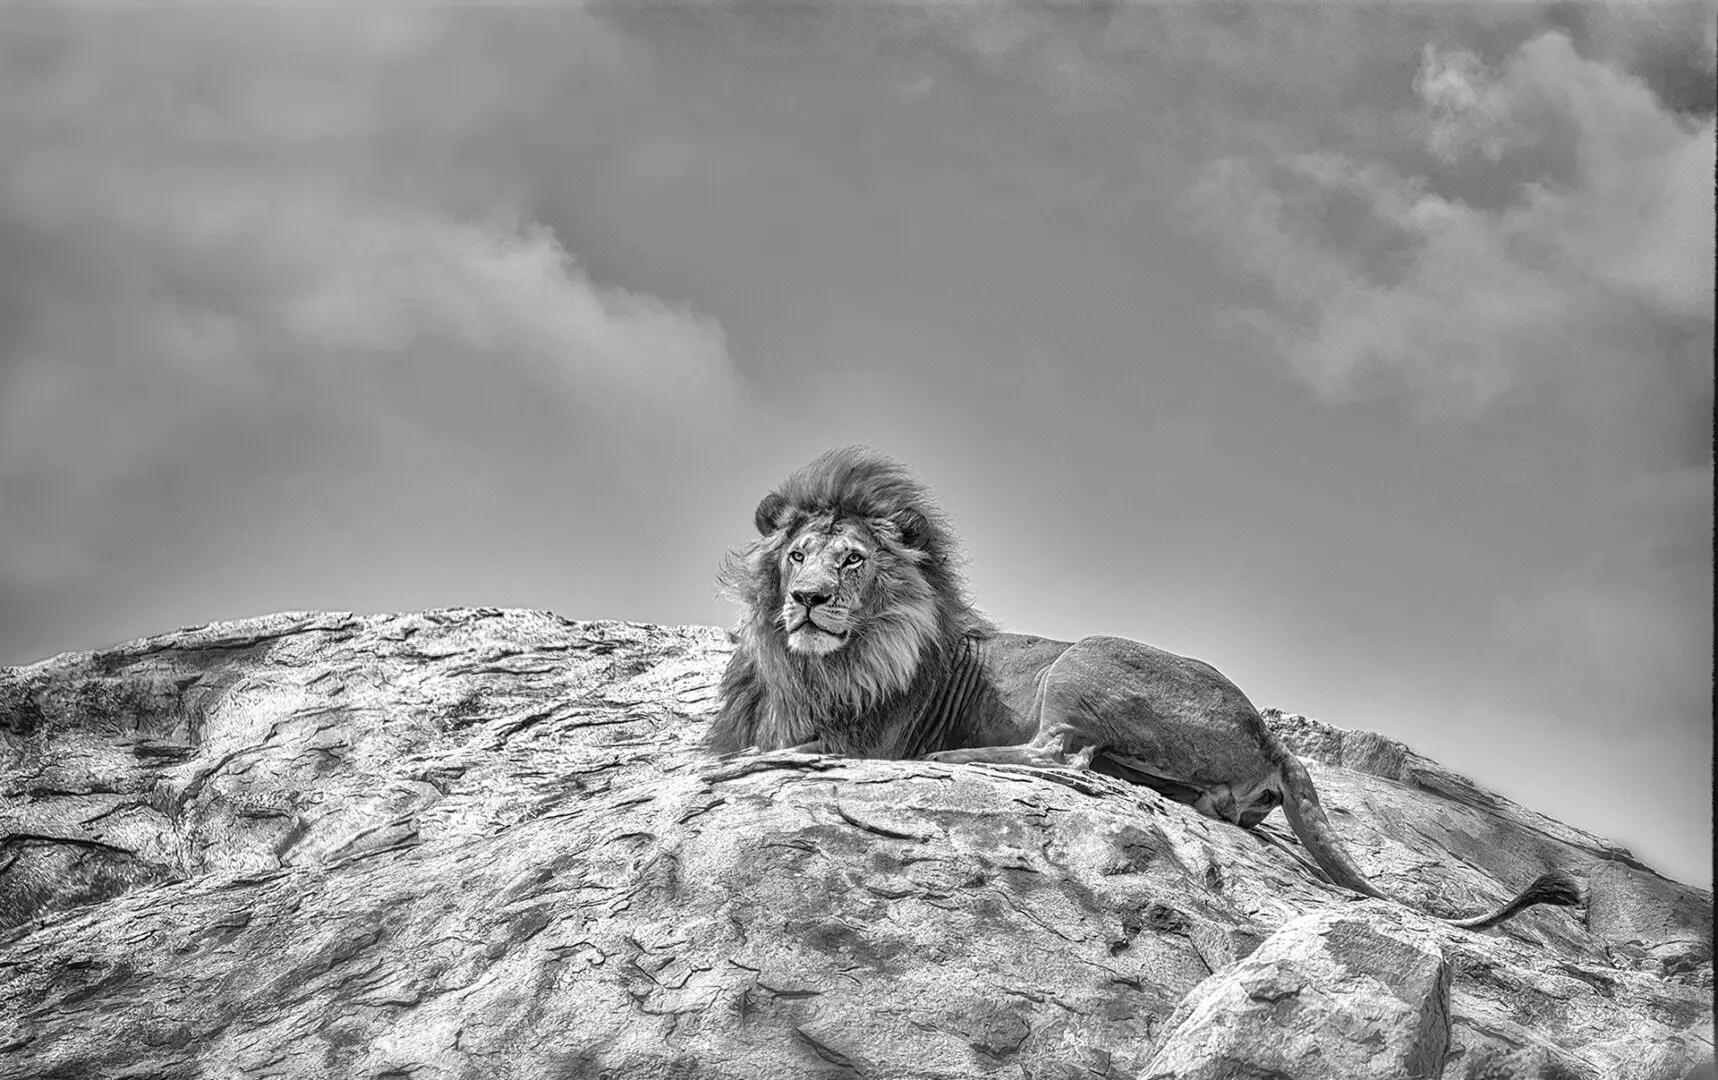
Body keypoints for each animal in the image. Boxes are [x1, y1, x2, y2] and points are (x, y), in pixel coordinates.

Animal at [711, 446, 1580, 927]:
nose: (807, 600)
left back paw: (957, 756)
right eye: (798, 556)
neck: (817, 664)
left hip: (1086, 655)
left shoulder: (859, 733)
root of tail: (1269, 731)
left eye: (853, 559)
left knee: (1060, 755)